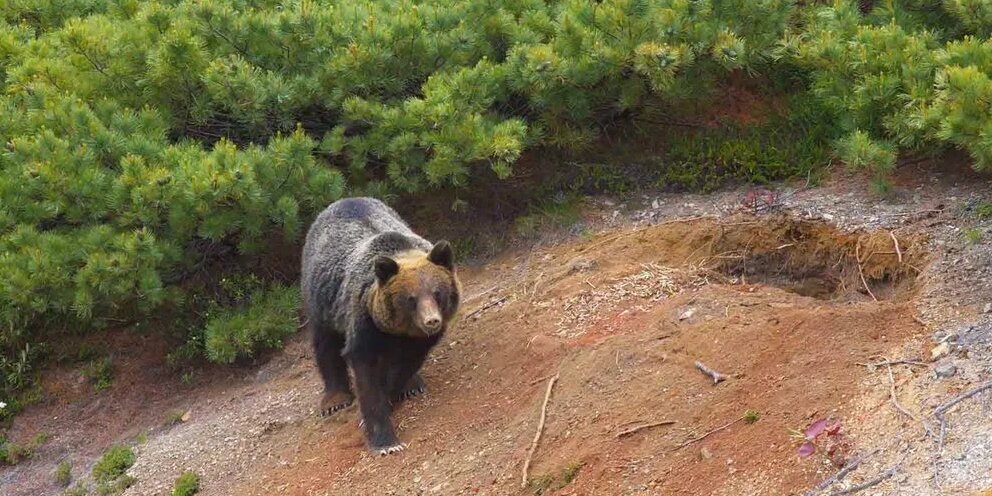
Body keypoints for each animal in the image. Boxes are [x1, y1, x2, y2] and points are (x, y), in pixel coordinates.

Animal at [300, 196, 460, 456]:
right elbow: (366, 373)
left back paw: (413, 384)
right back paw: (335, 399)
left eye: (437, 292)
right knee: (325, 342)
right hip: (321, 297)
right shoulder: (364, 322)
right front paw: (385, 441)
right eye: (411, 299)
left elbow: (404, 366)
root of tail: (343, 200)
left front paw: (400, 388)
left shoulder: (419, 341)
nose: (432, 321)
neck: (399, 331)